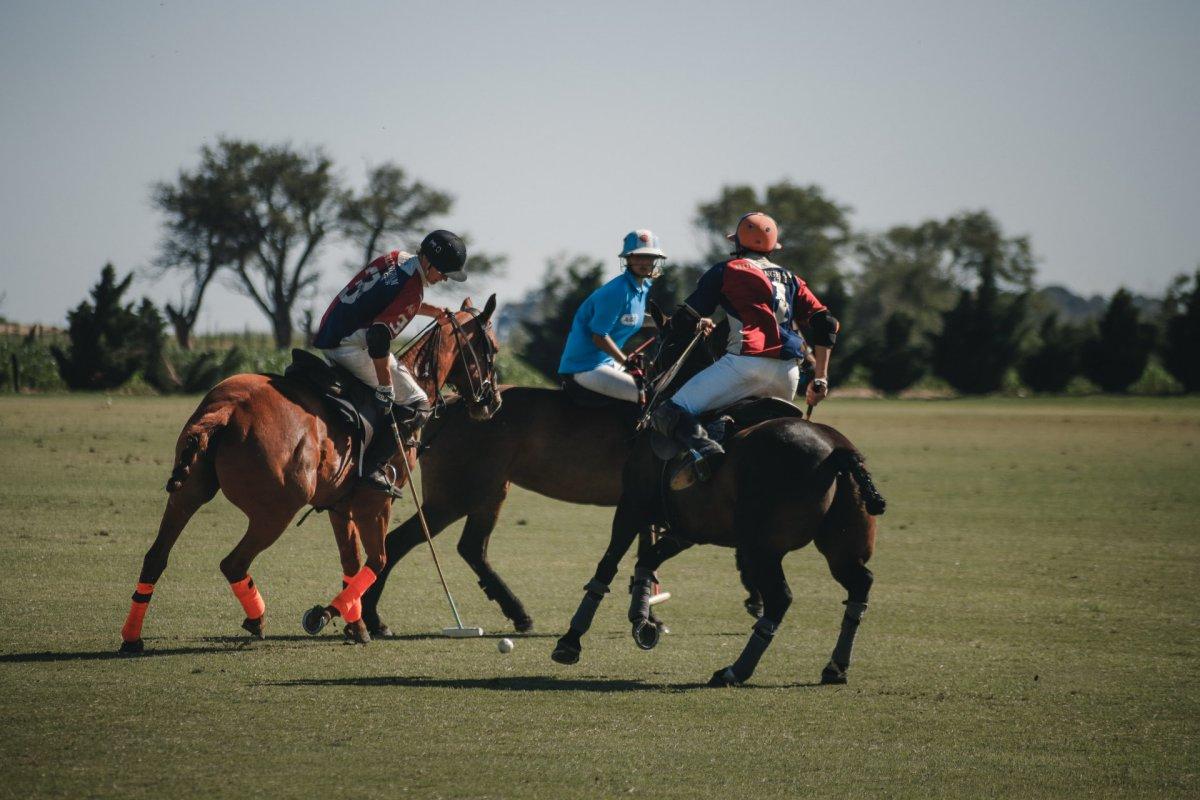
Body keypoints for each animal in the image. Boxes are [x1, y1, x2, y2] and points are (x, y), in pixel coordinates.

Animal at [114, 297, 499, 652]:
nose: (492, 401)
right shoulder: (375, 503)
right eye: (492, 349)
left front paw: (355, 626)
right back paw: (256, 620)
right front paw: (325, 616)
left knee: (156, 557)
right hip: (276, 510)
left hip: (190, 490)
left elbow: (350, 563)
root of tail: (228, 410)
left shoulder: (341, 505)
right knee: (233, 563)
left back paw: (132, 639)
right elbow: (377, 560)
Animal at [549, 309, 883, 686]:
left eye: (662, 343)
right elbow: (647, 560)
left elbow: (608, 565)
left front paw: (571, 641)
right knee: (860, 585)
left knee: (780, 599)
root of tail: (839, 453)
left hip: (763, 545)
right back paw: (835, 667)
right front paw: (643, 621)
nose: (649, 385)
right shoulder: (687, 528)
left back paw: (735, 669)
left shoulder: (632, 505)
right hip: (841, 543)